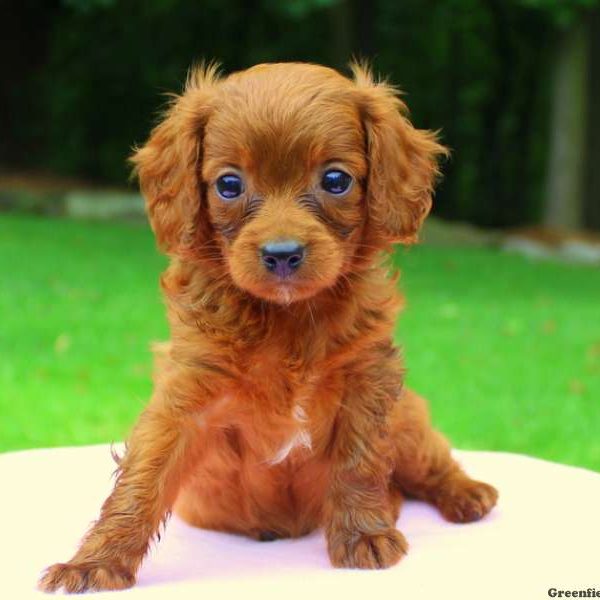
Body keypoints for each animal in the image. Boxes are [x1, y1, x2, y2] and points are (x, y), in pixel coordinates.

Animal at [37, 63, 496, 592]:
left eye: (335, 179)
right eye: (228, 185)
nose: (281, 254)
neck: (287, 318)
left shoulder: (367, 381)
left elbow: (359, 461)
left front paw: (362, 535)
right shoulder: (186, 398)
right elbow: (143, 479)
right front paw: (94, 562)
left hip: (408, 422)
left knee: (431, 463)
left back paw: (466, 493)